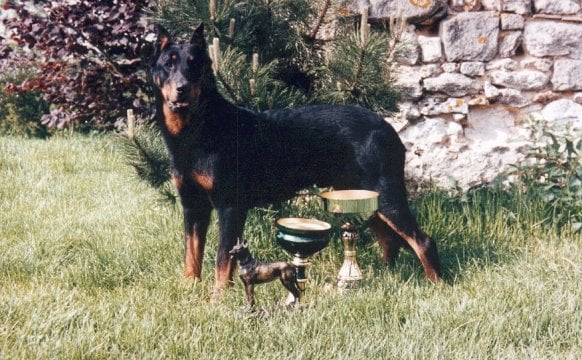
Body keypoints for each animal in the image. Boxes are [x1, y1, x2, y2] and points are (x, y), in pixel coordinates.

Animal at [151, 23, 442, 298]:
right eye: (168, 64)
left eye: (194, 64)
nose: (181, 89)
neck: (196, 129)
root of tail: (389, 129)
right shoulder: (192, 206)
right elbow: (191, 254)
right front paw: (189, 288)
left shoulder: (230, 206)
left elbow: (223, 259)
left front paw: (218, 298)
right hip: (362, 195)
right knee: (389, 238)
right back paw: (386, 276)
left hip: (384, 192)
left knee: (422, 241)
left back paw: (436, 285)